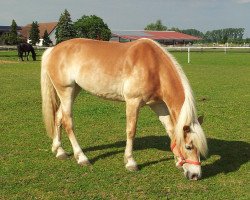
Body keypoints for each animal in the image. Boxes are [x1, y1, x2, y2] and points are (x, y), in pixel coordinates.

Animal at [41, 38, 208, 180]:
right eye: (188, 146)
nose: (195, 175)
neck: (154, 66)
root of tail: (53, 50)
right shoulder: (133, 102)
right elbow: (131, 131)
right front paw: (130, 162)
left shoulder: (158, 104)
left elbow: (171, 131)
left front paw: (177, 160)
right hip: (66, 91)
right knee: (68, 122)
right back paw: (81, 158)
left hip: (74, 90)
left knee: (58, 117)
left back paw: (59, 151)